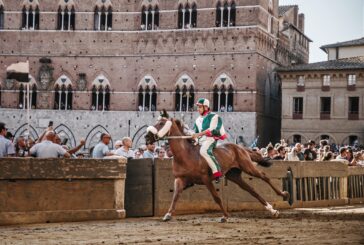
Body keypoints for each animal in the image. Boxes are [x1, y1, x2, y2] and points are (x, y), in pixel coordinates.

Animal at [145, 114, 290, 223]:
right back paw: (272, 210)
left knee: (264, 176)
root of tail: (240, 148)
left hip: (248, 167)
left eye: (161, 123)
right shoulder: (180, 179)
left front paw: (225, 216)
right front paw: (168, 214)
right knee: (252, 190)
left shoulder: (206, 179)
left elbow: (217, 197)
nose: (147, 137)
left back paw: (283, 195)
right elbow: (175, 196)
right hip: (234, 175)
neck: (185, 154)